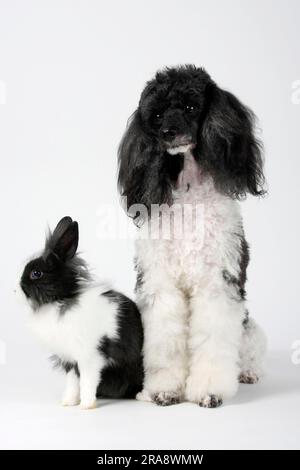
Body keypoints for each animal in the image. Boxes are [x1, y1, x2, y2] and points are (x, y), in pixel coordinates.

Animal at [18, 216, 144, 408]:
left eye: (36, 273)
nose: (16, 289)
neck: (60, 301)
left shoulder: (90, 357)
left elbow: (87, 381)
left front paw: (86, 405)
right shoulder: (69, 360)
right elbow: (72, 383)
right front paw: (68, 402)